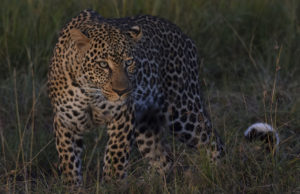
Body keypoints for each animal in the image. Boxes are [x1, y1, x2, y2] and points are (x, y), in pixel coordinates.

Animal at [47, 9, 278, 186]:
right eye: (103, 64)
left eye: (129, 62)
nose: (123, 91)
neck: (91, 92)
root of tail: (185, 36)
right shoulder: (65, 122)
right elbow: (69, 164)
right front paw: (73, 188)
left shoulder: (121, 118)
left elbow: (114, 160)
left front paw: (112, 187)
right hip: (146, 124)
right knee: (163, 160)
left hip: (183, 112)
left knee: (214, 144)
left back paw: (218, 176)